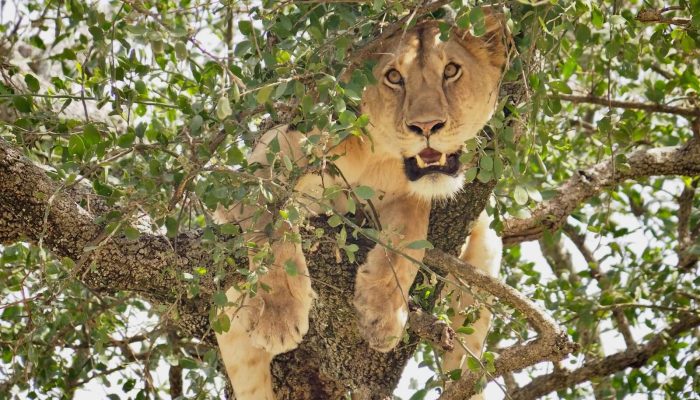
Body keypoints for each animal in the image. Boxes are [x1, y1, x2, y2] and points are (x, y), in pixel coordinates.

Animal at [214, 15, 506, 400]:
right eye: (394, 77)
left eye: (451, 71)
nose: (427, 126)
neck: (376, 154)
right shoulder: (266, 163)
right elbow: (273, 226)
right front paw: (278, 315)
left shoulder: (407, 197)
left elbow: (407, 243)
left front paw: (382, 316)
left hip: (487, 250)